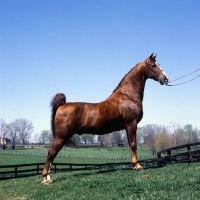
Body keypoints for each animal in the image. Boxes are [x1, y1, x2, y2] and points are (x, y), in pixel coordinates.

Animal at [42, 53, 169, 184]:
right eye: (153, 65)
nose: (165, 79)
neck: (128, 96)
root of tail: (62, 105)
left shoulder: (127, 127)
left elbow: (130, 145)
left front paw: (134, 165)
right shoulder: (131, 124)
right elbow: (134, 145)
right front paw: (138, 167)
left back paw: (48, 177)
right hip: (62, 136)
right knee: (51, 153)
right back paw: (46, 179)